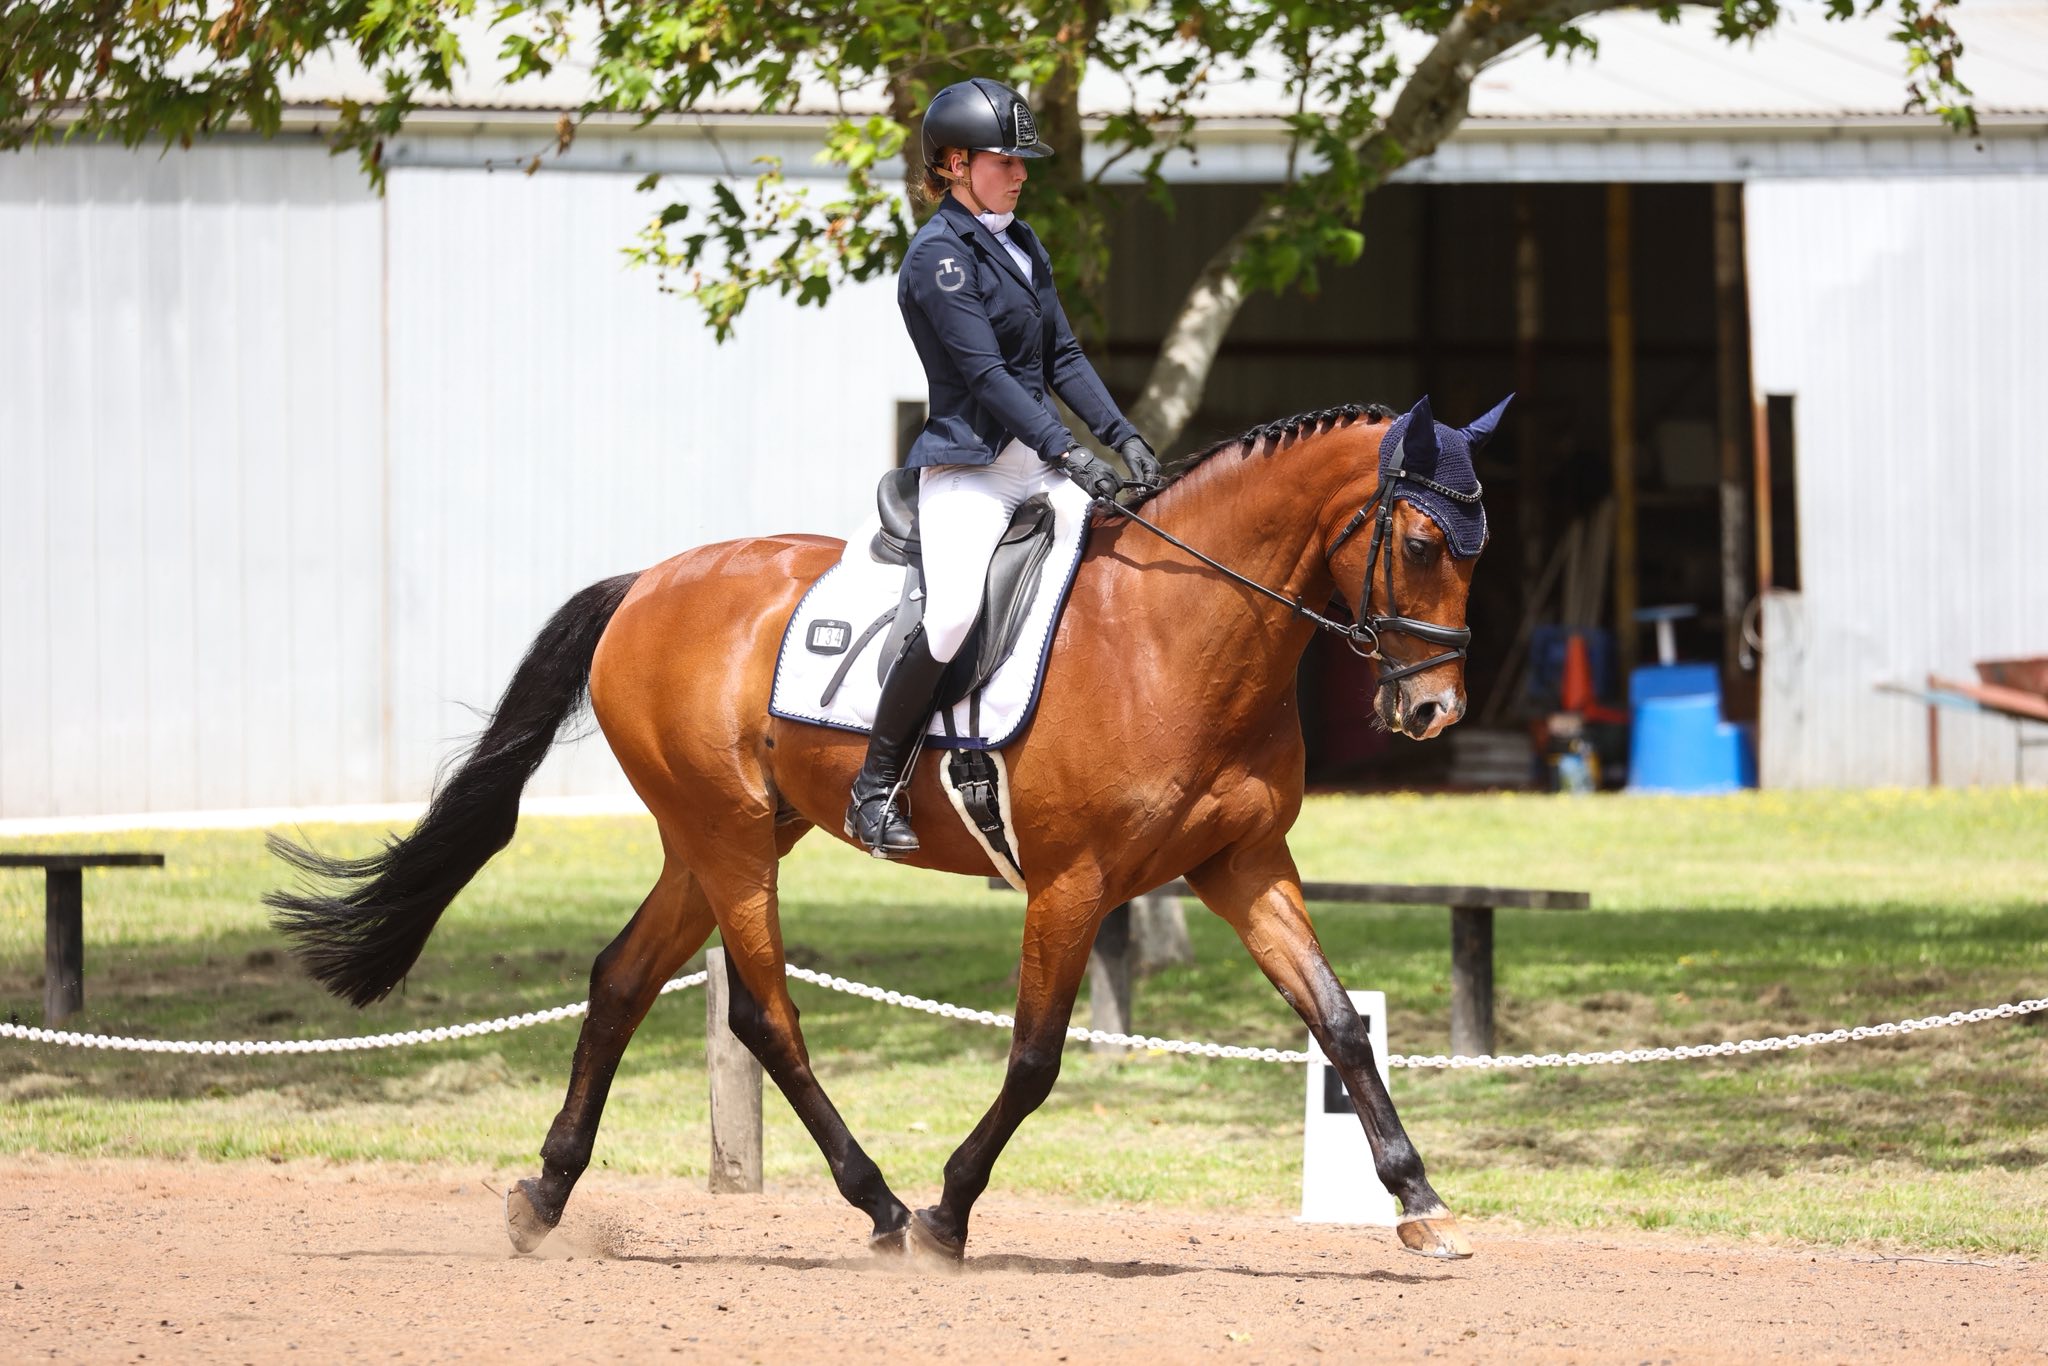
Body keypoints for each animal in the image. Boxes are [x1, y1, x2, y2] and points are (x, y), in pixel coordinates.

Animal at [267, 396, 1490, 1264]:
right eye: (1426, 543)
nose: (1434, 712)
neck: (1175, 627)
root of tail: (647, 582)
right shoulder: (1071, 882)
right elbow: (1035, 1057)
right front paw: (951, 1211)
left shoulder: (1244, 864)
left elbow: (1339, 1023)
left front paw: (1419, 1200)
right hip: (728, 840)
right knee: (765, 1015)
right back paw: (884, 1207)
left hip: (723, 838)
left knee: (620, 979)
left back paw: (546, 1195)